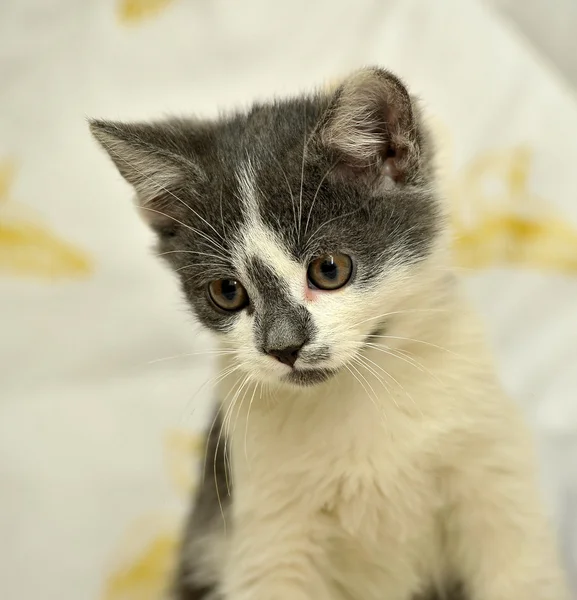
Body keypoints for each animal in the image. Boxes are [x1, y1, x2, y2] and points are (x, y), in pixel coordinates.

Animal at [90, 67, 568, 600]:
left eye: (329, 269)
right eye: (227, 292)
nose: (283, 346)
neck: (358, 397)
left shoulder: (491, 471)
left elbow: (518, 567)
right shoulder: (265, 525)